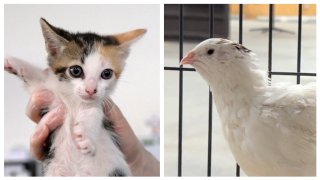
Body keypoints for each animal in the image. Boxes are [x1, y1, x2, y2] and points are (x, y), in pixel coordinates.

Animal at [4, 18, 147, 176]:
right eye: (76, 71)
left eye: (107, 73)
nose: (91, 90)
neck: (74, 101)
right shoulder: (51, 98)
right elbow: (37, 78)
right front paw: (13, 62)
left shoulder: (101, 109)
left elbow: (94, 112)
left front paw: (86, 138)